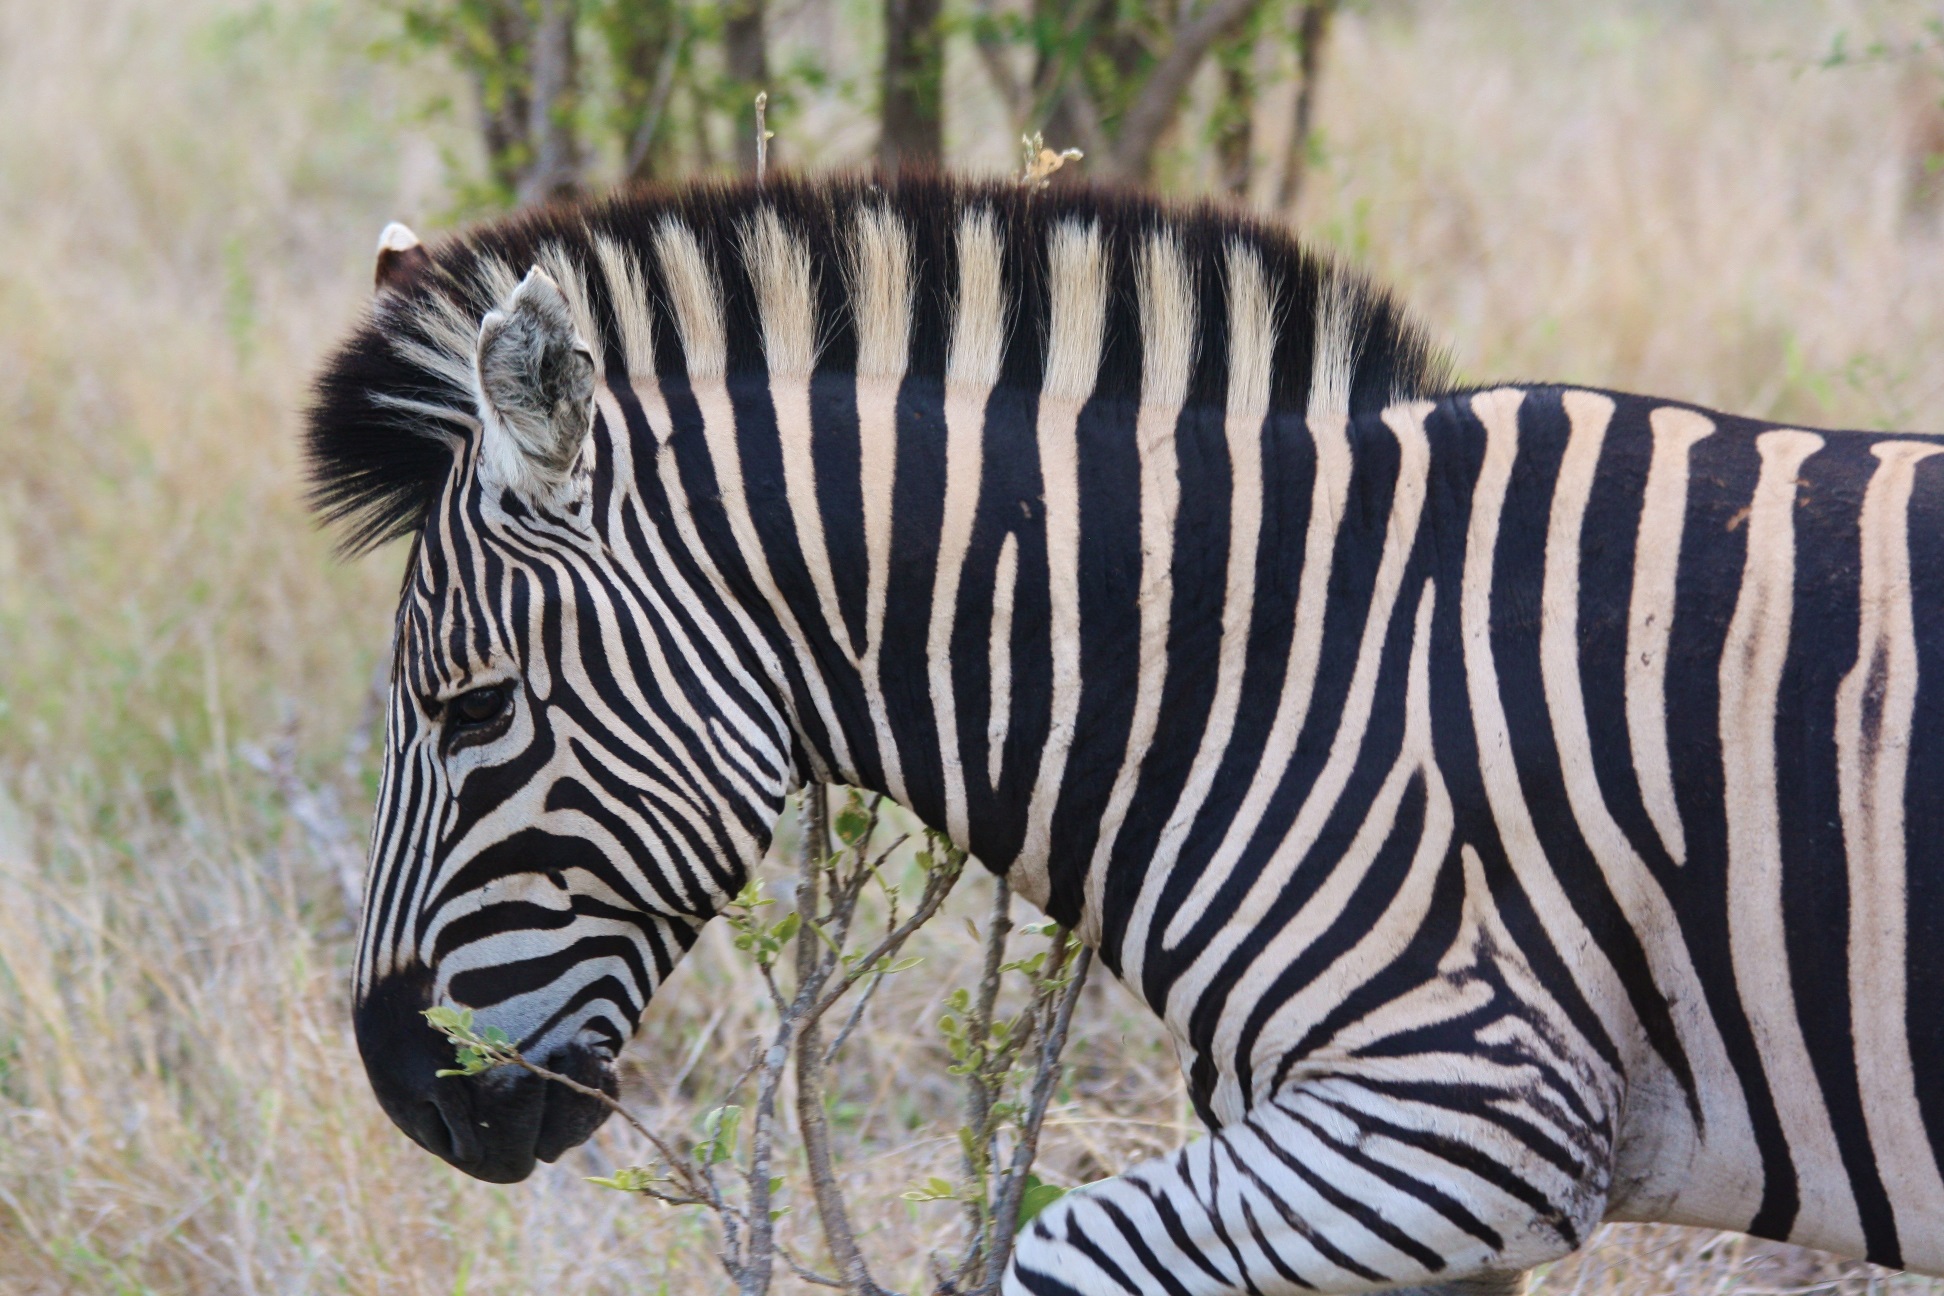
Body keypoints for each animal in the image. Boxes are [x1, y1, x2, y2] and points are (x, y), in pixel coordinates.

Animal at [303, 174, 1944, 1296]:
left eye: (472, 709)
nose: (399, 1088)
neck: (1282, 667)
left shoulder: (1468, 1116)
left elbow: (1055, 1251)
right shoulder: (1413, 1178)